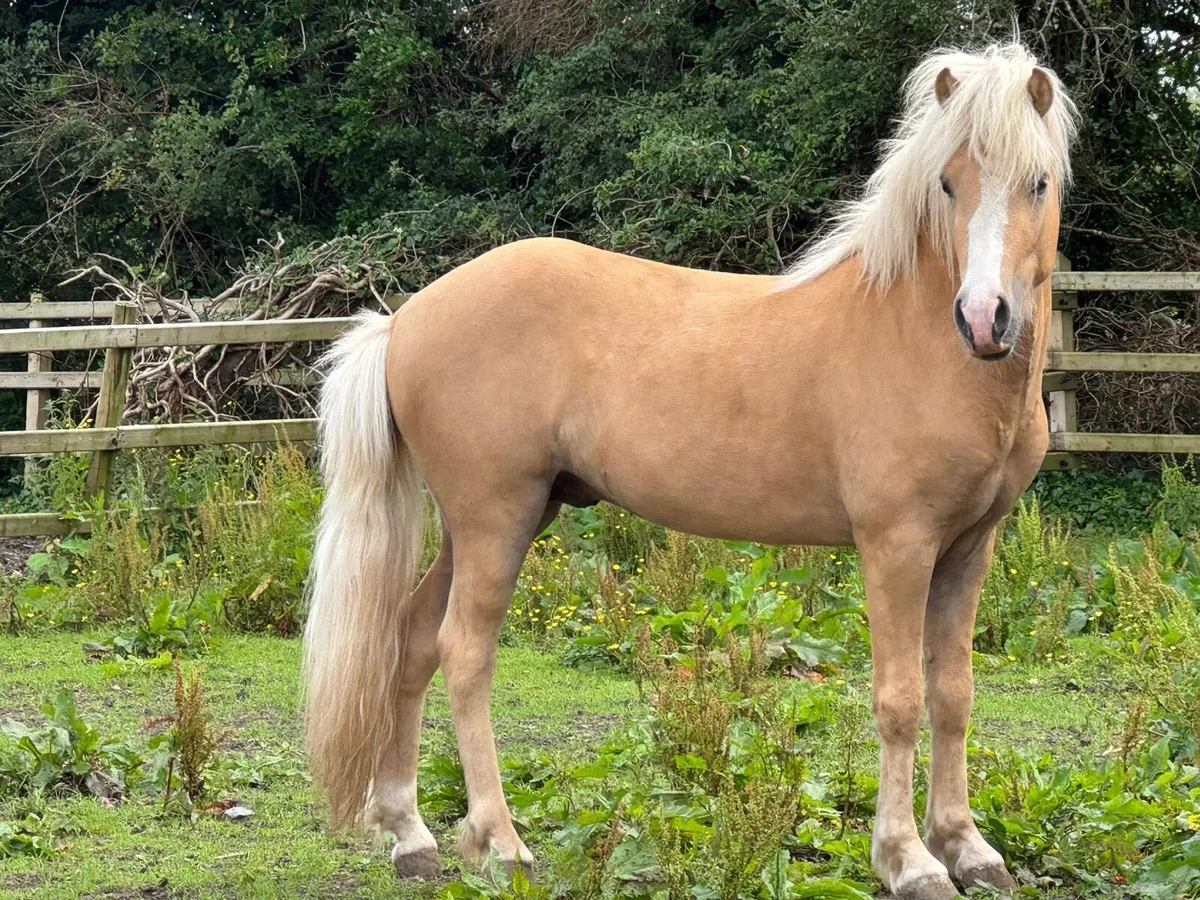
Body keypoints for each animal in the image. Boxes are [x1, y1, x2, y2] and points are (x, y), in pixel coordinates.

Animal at [302, 41, 1077, 900]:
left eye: (1038, 182)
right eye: (948, 183)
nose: (984, 318)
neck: (918, 338)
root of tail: (406, 317)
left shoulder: (969, 547)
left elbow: (954, 694)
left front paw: (968, 847)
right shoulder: (897, 546)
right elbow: (901, 699)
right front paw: (908, 859)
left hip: (488, 524)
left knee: (410, 640)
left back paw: (412, 836)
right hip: (494, 520)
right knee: (464, 655)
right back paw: (501, 843)